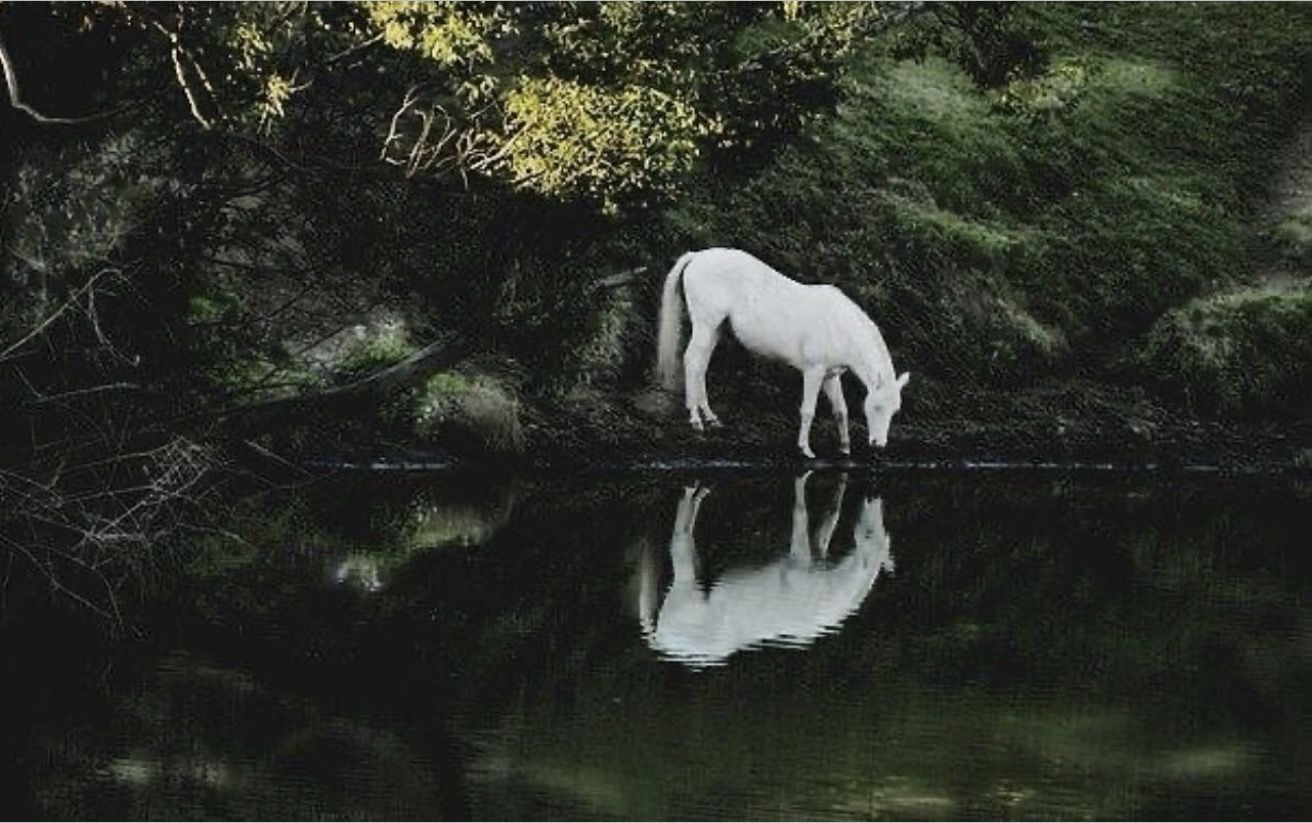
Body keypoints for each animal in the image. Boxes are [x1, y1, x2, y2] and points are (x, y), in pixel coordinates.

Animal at [634, 473, 893, 668]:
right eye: (869, 534)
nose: (873, 500)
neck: (824, 593)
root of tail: (663, 640)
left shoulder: (816, 553)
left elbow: (828, 523)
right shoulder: (799, 558)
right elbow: (801, 512)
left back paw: (700, 493)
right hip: (687, 584)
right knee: (679, 536)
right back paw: (691, 490)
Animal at [656, 248, 909, 457]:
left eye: (894, 411)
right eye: (876, 407)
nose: (879, 444)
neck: (839, 325)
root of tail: (697, 256)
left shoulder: (831, 376)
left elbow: (841, 410)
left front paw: (845, 448)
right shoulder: (813, 372)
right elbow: (808, 410)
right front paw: (805, 448)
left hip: (716, 328)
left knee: (701, 365)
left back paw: (710, 417)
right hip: (705, 324)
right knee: (692, 360)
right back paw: (695, 419)